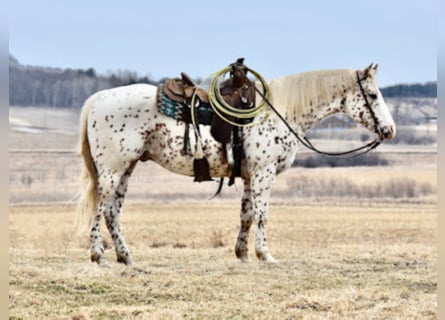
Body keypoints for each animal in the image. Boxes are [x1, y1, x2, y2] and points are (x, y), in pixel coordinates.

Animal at [78, 62, 394, 264]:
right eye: (373, 95)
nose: (390, 130)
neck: (278, 113)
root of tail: (100, 98)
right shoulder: (265, 173)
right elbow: (262, 214)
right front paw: (265, 255)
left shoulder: (250, 176)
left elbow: (246, 215)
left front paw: (242, 253)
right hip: (111, 171)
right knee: (100, 210)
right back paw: (98, 255)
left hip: (126, 169)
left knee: (113, 213)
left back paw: (125, 256)